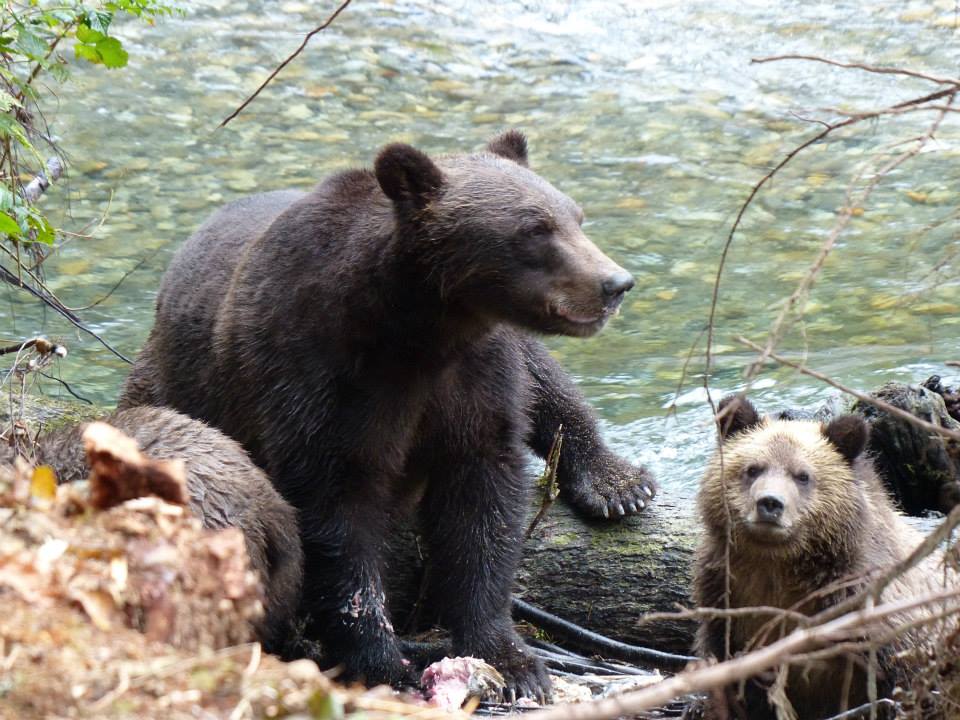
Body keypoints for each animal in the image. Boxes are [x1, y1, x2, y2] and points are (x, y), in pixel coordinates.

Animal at [116, 132, 648, 700]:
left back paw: (617, 483)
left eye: (576, 216)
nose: (615, 283)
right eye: (534, 228)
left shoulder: (476, 376)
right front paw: (382, 662)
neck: (419, 330)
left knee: (547, 381)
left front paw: (511, 658)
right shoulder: (321, 378)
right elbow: (337, 517)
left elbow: (485, 505)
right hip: (167, 379)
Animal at [692, 396, 956, 716]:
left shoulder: (877, 615)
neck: (778, 566)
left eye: (802, 475)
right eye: (753, 468)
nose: (770, 503)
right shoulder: (728, 598)